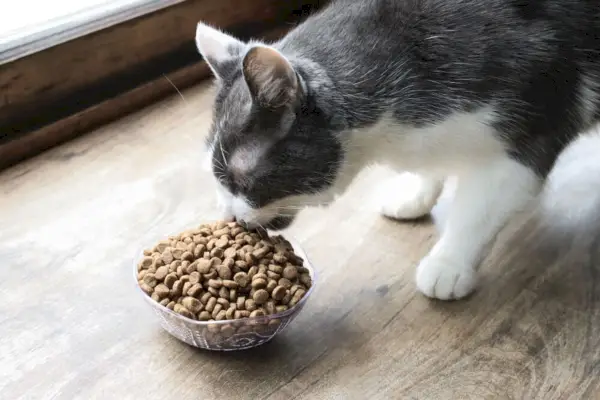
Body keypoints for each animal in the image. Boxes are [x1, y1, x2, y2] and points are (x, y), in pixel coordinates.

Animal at [196, 0, 600, 300]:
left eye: (240, 179)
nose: (227, 216)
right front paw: (415, 192)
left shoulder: (526, 136)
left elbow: (476, 212)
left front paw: (448, 263)